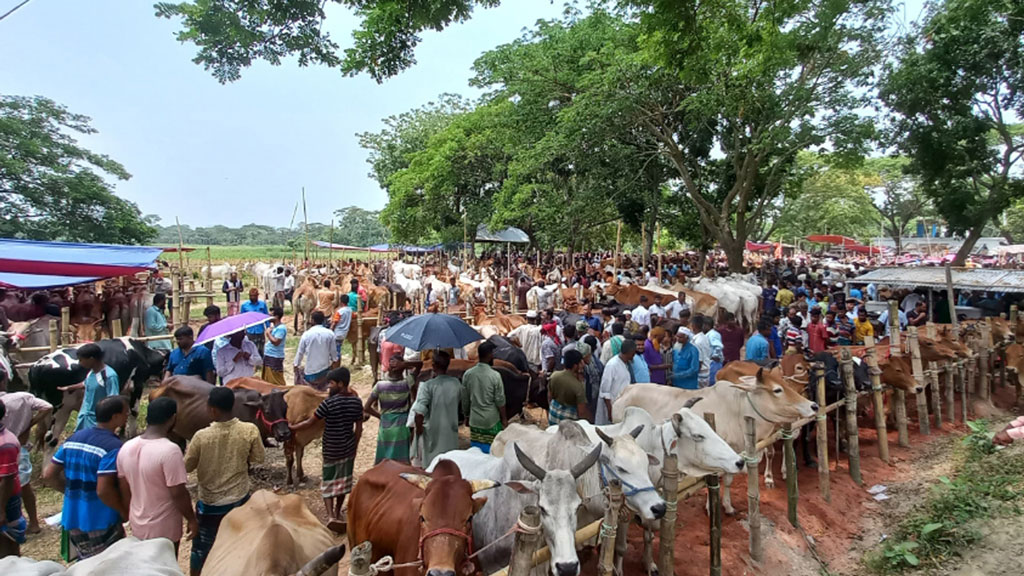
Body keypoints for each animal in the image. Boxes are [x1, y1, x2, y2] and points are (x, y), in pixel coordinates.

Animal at [28, 336, 166, 444]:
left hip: (45, 411)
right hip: (61, 410)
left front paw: (121, 433)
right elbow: (133, 412)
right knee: (51, 440)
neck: (141, 353)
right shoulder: (136, 385)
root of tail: (38, 366)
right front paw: (132, 436)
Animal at [610, 375, 819, 512]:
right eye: (777, 390)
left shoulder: (735, 456)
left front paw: (728, 506)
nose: (814, 405)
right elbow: (717, 480)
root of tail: (624, 391)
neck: (738, 410)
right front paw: (712, 507)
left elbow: (728, 480)